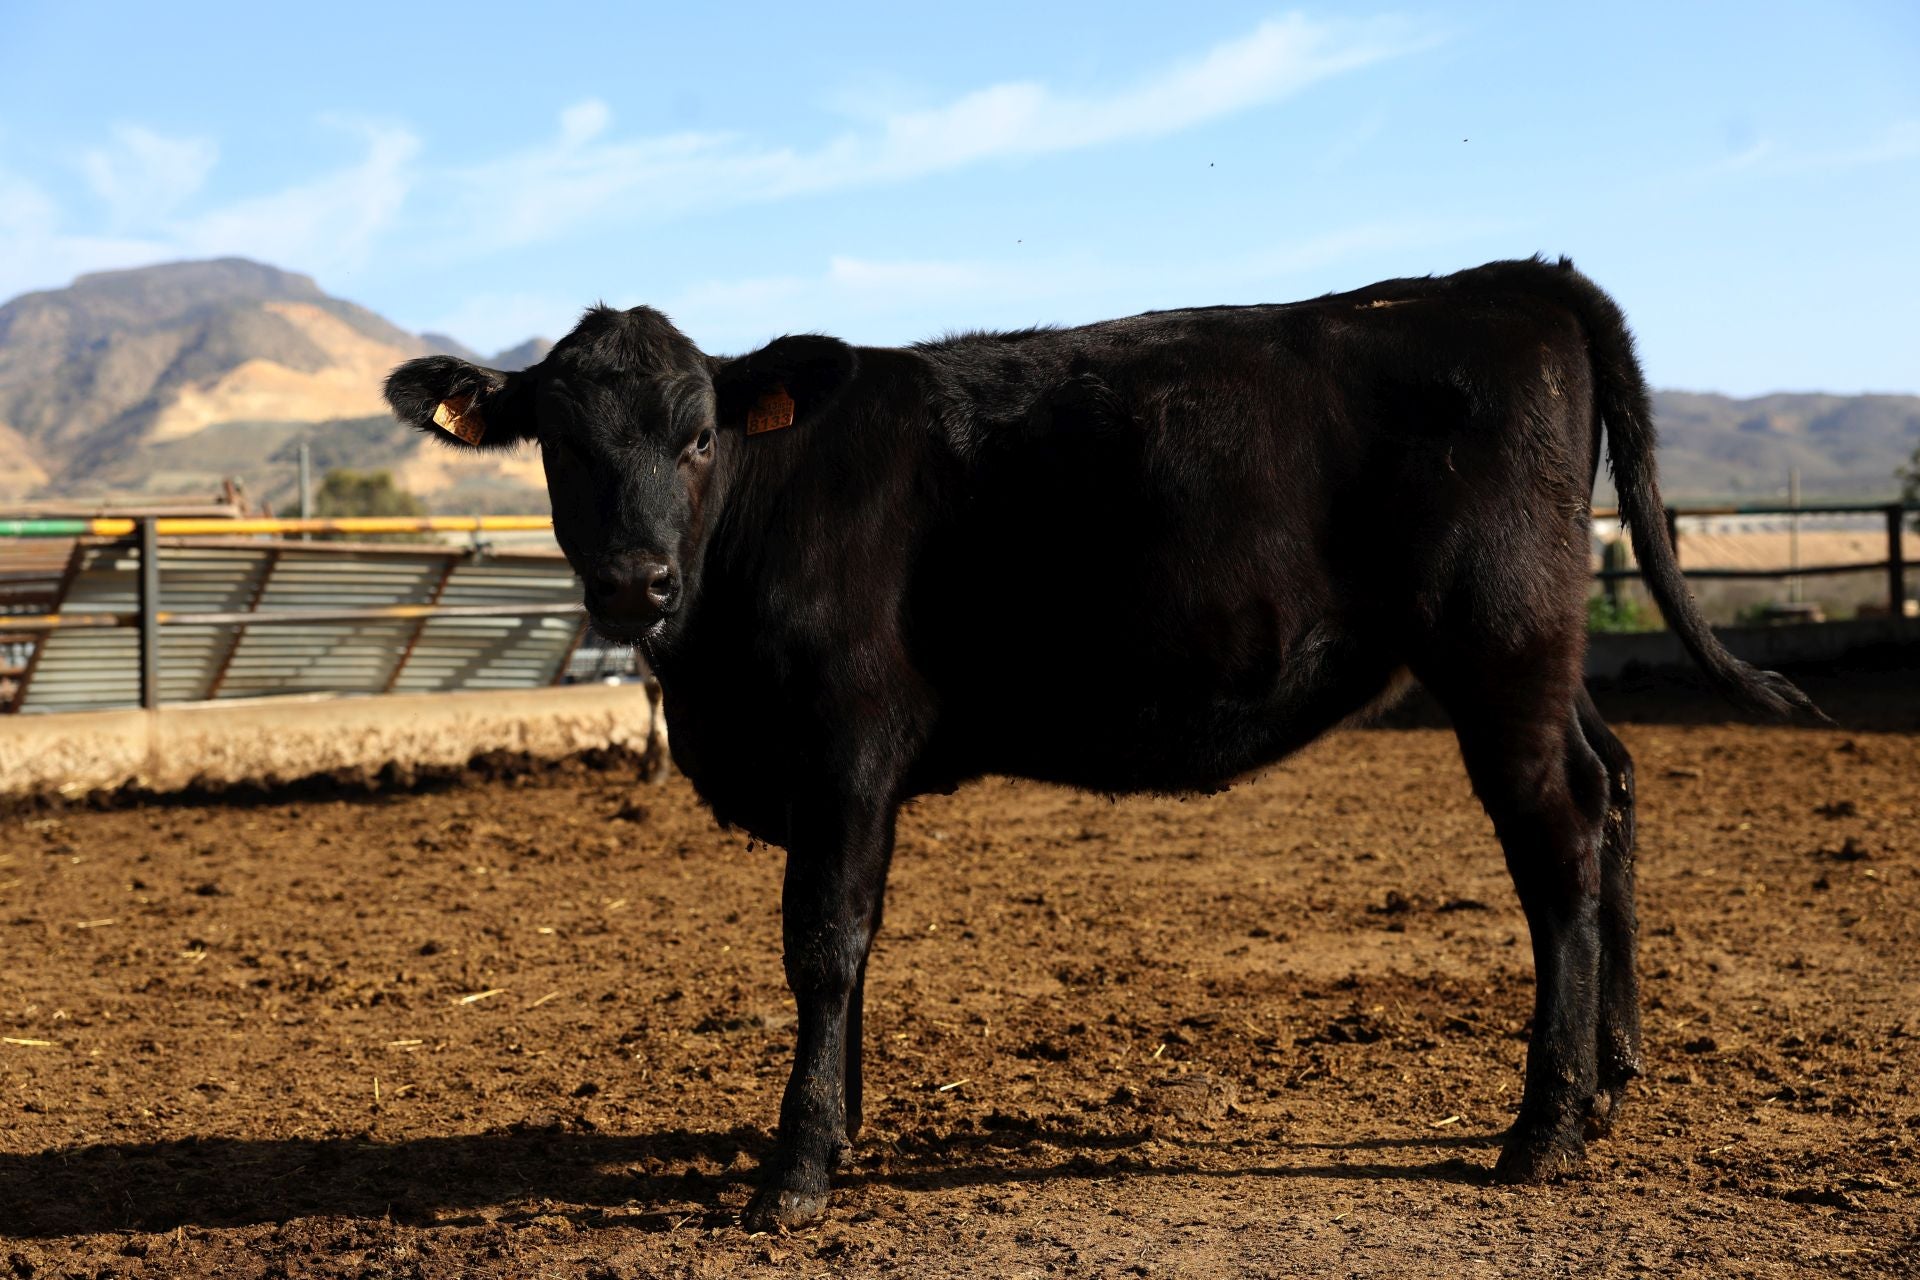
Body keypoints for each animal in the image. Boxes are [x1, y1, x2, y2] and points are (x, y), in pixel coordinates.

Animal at [385, 260, 1812, 1228]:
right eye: (563, 447)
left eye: (696, 434)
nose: (634, 583)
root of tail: (1510, 277)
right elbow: (853, 945)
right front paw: (841, 1124)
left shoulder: (847, 740)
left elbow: (824, 942)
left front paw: (794, 1167)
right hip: (1538, 654)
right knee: (1614, 787)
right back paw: (1616, 1078)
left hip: (1499, 643)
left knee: (1558, 840)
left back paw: (1545, 1127)